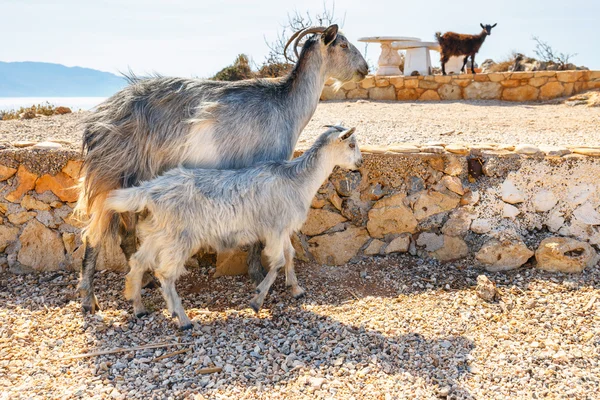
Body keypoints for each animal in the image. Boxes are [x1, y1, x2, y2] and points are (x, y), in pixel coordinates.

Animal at [77, 24, 368, 316]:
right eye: (343, 45)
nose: (365, 68)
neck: (284, 105)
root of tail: (96, 121)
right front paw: (258, 277)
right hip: (109, 174)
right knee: (93, 235)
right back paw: (89, 299)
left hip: (133, 179)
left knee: (125, 236)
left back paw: (143, 282)